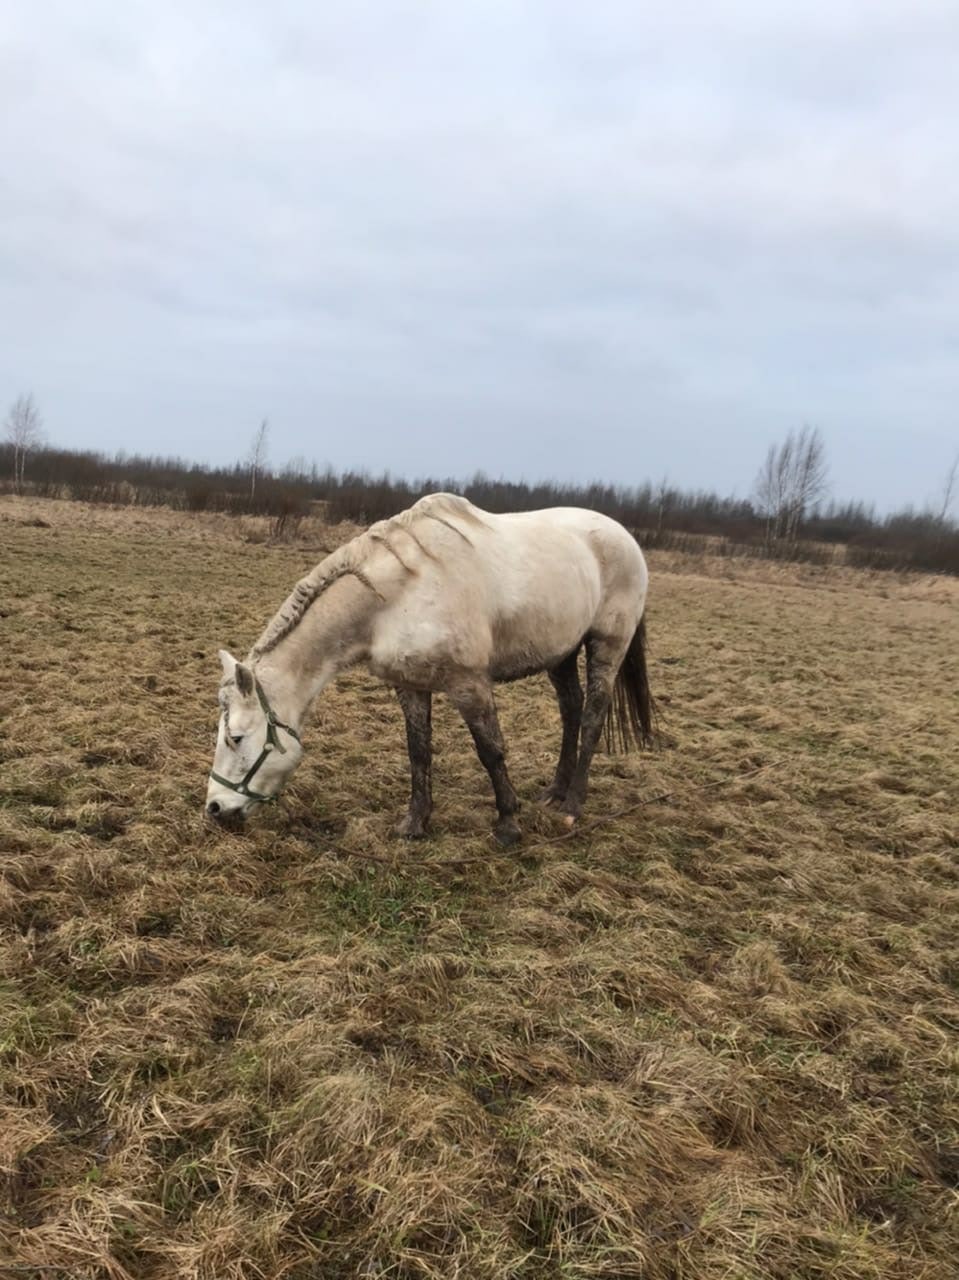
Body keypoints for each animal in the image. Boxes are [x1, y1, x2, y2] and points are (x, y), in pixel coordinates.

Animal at [203, 494, 650, 844]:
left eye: (236, 737)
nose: (215, 808)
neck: (399, 595)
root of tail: (625, 537)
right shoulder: (411, 685)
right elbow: (418, 751)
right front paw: (415, 823)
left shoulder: (469, 684)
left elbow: (491, 751)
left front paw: (508, 824)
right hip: (561, 653)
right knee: (571, 711)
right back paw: (555, 791)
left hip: (606, 645)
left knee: (592, 717)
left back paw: (572, 803)